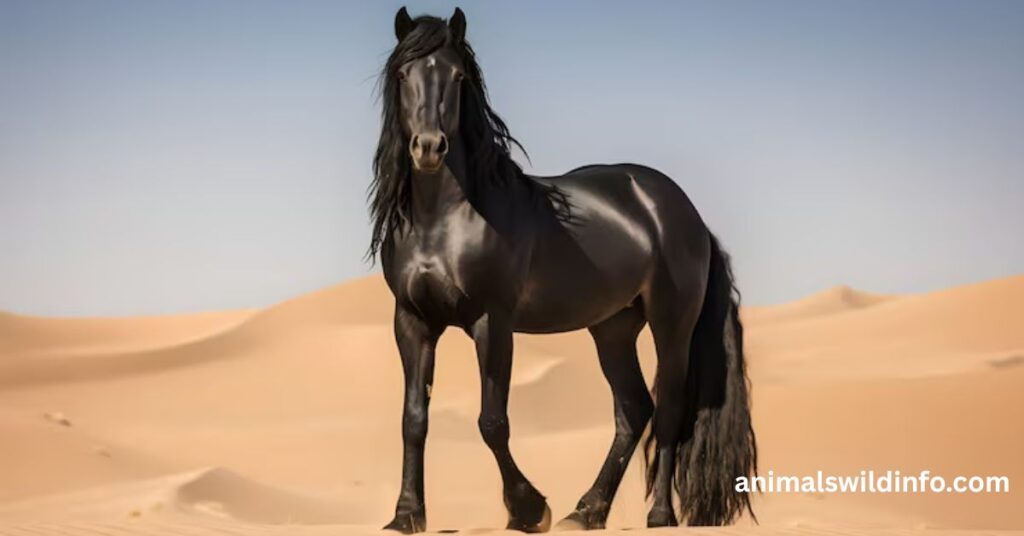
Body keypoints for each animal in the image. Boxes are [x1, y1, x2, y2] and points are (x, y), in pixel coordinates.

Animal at [369, 7, 757, 533]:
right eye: (403, 75)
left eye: (457, 76)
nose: (428, 148)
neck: (443, 220)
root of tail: (684, 212)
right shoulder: (412, 322)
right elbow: (413, 419)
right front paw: (406, 514)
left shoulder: (492, 322)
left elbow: (492, 422)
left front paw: (529, 509)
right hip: (612, 329)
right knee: (634, 410)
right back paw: (587, 510)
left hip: (672, 326)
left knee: (670, 413)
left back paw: (658, 514)